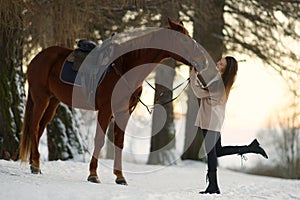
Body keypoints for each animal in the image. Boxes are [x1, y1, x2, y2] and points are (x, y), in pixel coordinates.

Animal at [19, 18, 191, 184]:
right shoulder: (105, 110)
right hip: (41, 99)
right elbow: (99, 141)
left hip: (53, 101)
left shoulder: (123, 113)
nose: (197, 57)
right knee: (34, 126)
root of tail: (37, 58)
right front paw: (93, 175)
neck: (125, 68)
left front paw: (120, 176)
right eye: (183, 39)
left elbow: (119, 143)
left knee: (40, 128)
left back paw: (34, 163)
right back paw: (35, 165)